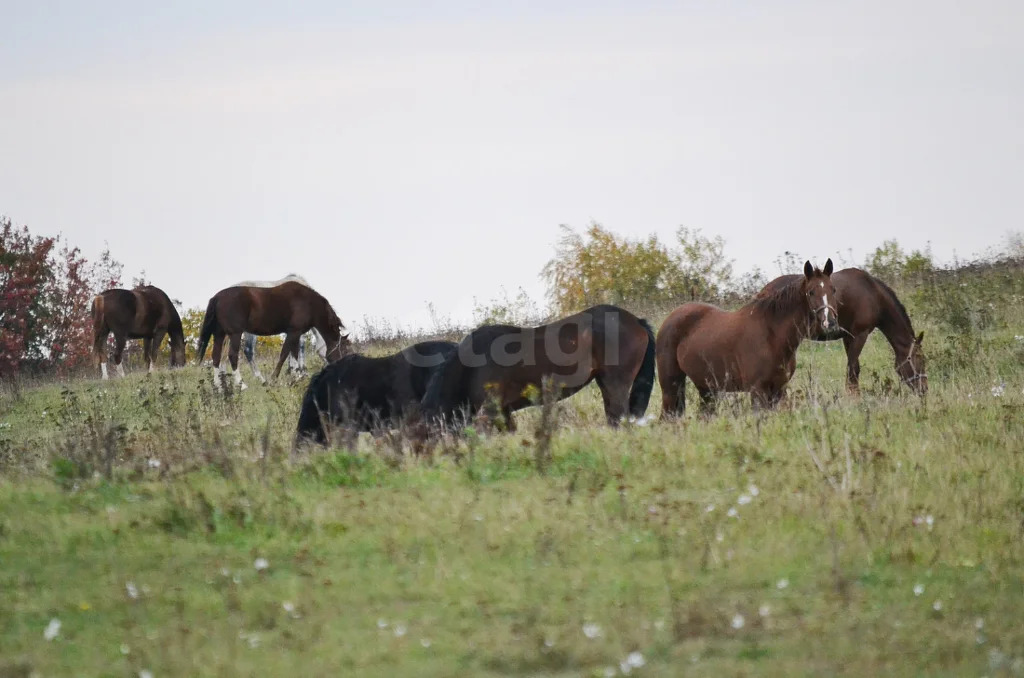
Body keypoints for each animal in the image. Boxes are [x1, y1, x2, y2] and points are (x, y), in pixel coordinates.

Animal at [195, 278, 352, 391]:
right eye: (344, 349)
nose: (343, 374)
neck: (308, 303)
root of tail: (217, 297)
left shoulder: (296, 334)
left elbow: (293, 355)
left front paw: (295, 377)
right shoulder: (293, 332)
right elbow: (285, 354)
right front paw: (275, 379)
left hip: (219, 334)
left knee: (216, 356)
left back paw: (218, 386)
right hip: (235, 334)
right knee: (232, 355)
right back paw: (242, 384)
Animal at [655, 261, 839, 417]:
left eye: (833, 290)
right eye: (811, 292)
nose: (830, 321)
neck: (772, 335)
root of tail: (670, 318)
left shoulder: (778, 390)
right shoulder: (758, 390)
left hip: (706, 389)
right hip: (671, 386)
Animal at [757, 266, 925, 393]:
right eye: (920, 359)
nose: (924, 389)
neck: (873, 293)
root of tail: (763, 292)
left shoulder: (848, 337)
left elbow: (853, 369)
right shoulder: (860, 334)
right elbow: (852, 370)